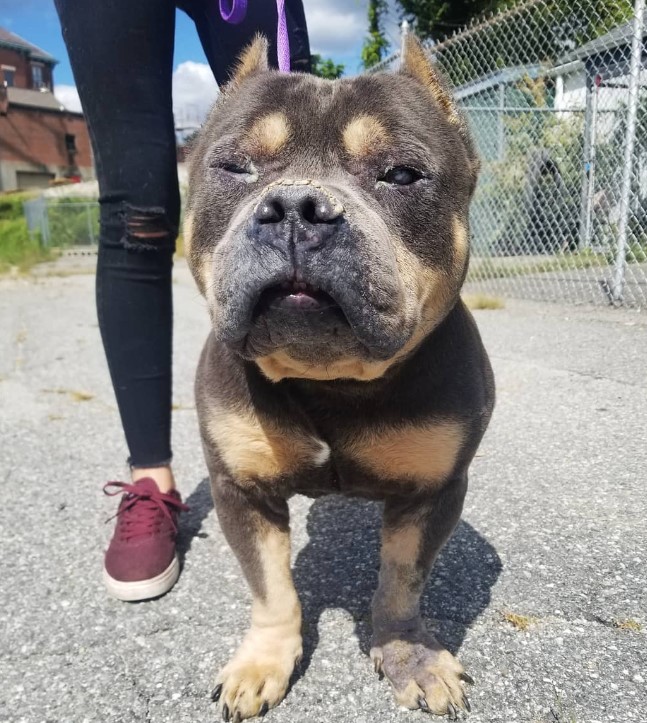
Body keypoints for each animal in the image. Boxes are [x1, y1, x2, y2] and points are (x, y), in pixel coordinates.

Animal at [184, 35, 496, 723]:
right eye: (235, 167)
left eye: (401, 174)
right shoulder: (241, 490)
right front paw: (263, 662)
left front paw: (410, 655)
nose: (297, 207)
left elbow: (402, 582)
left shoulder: (434, 492)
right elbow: (272, 589)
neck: (329, 378)